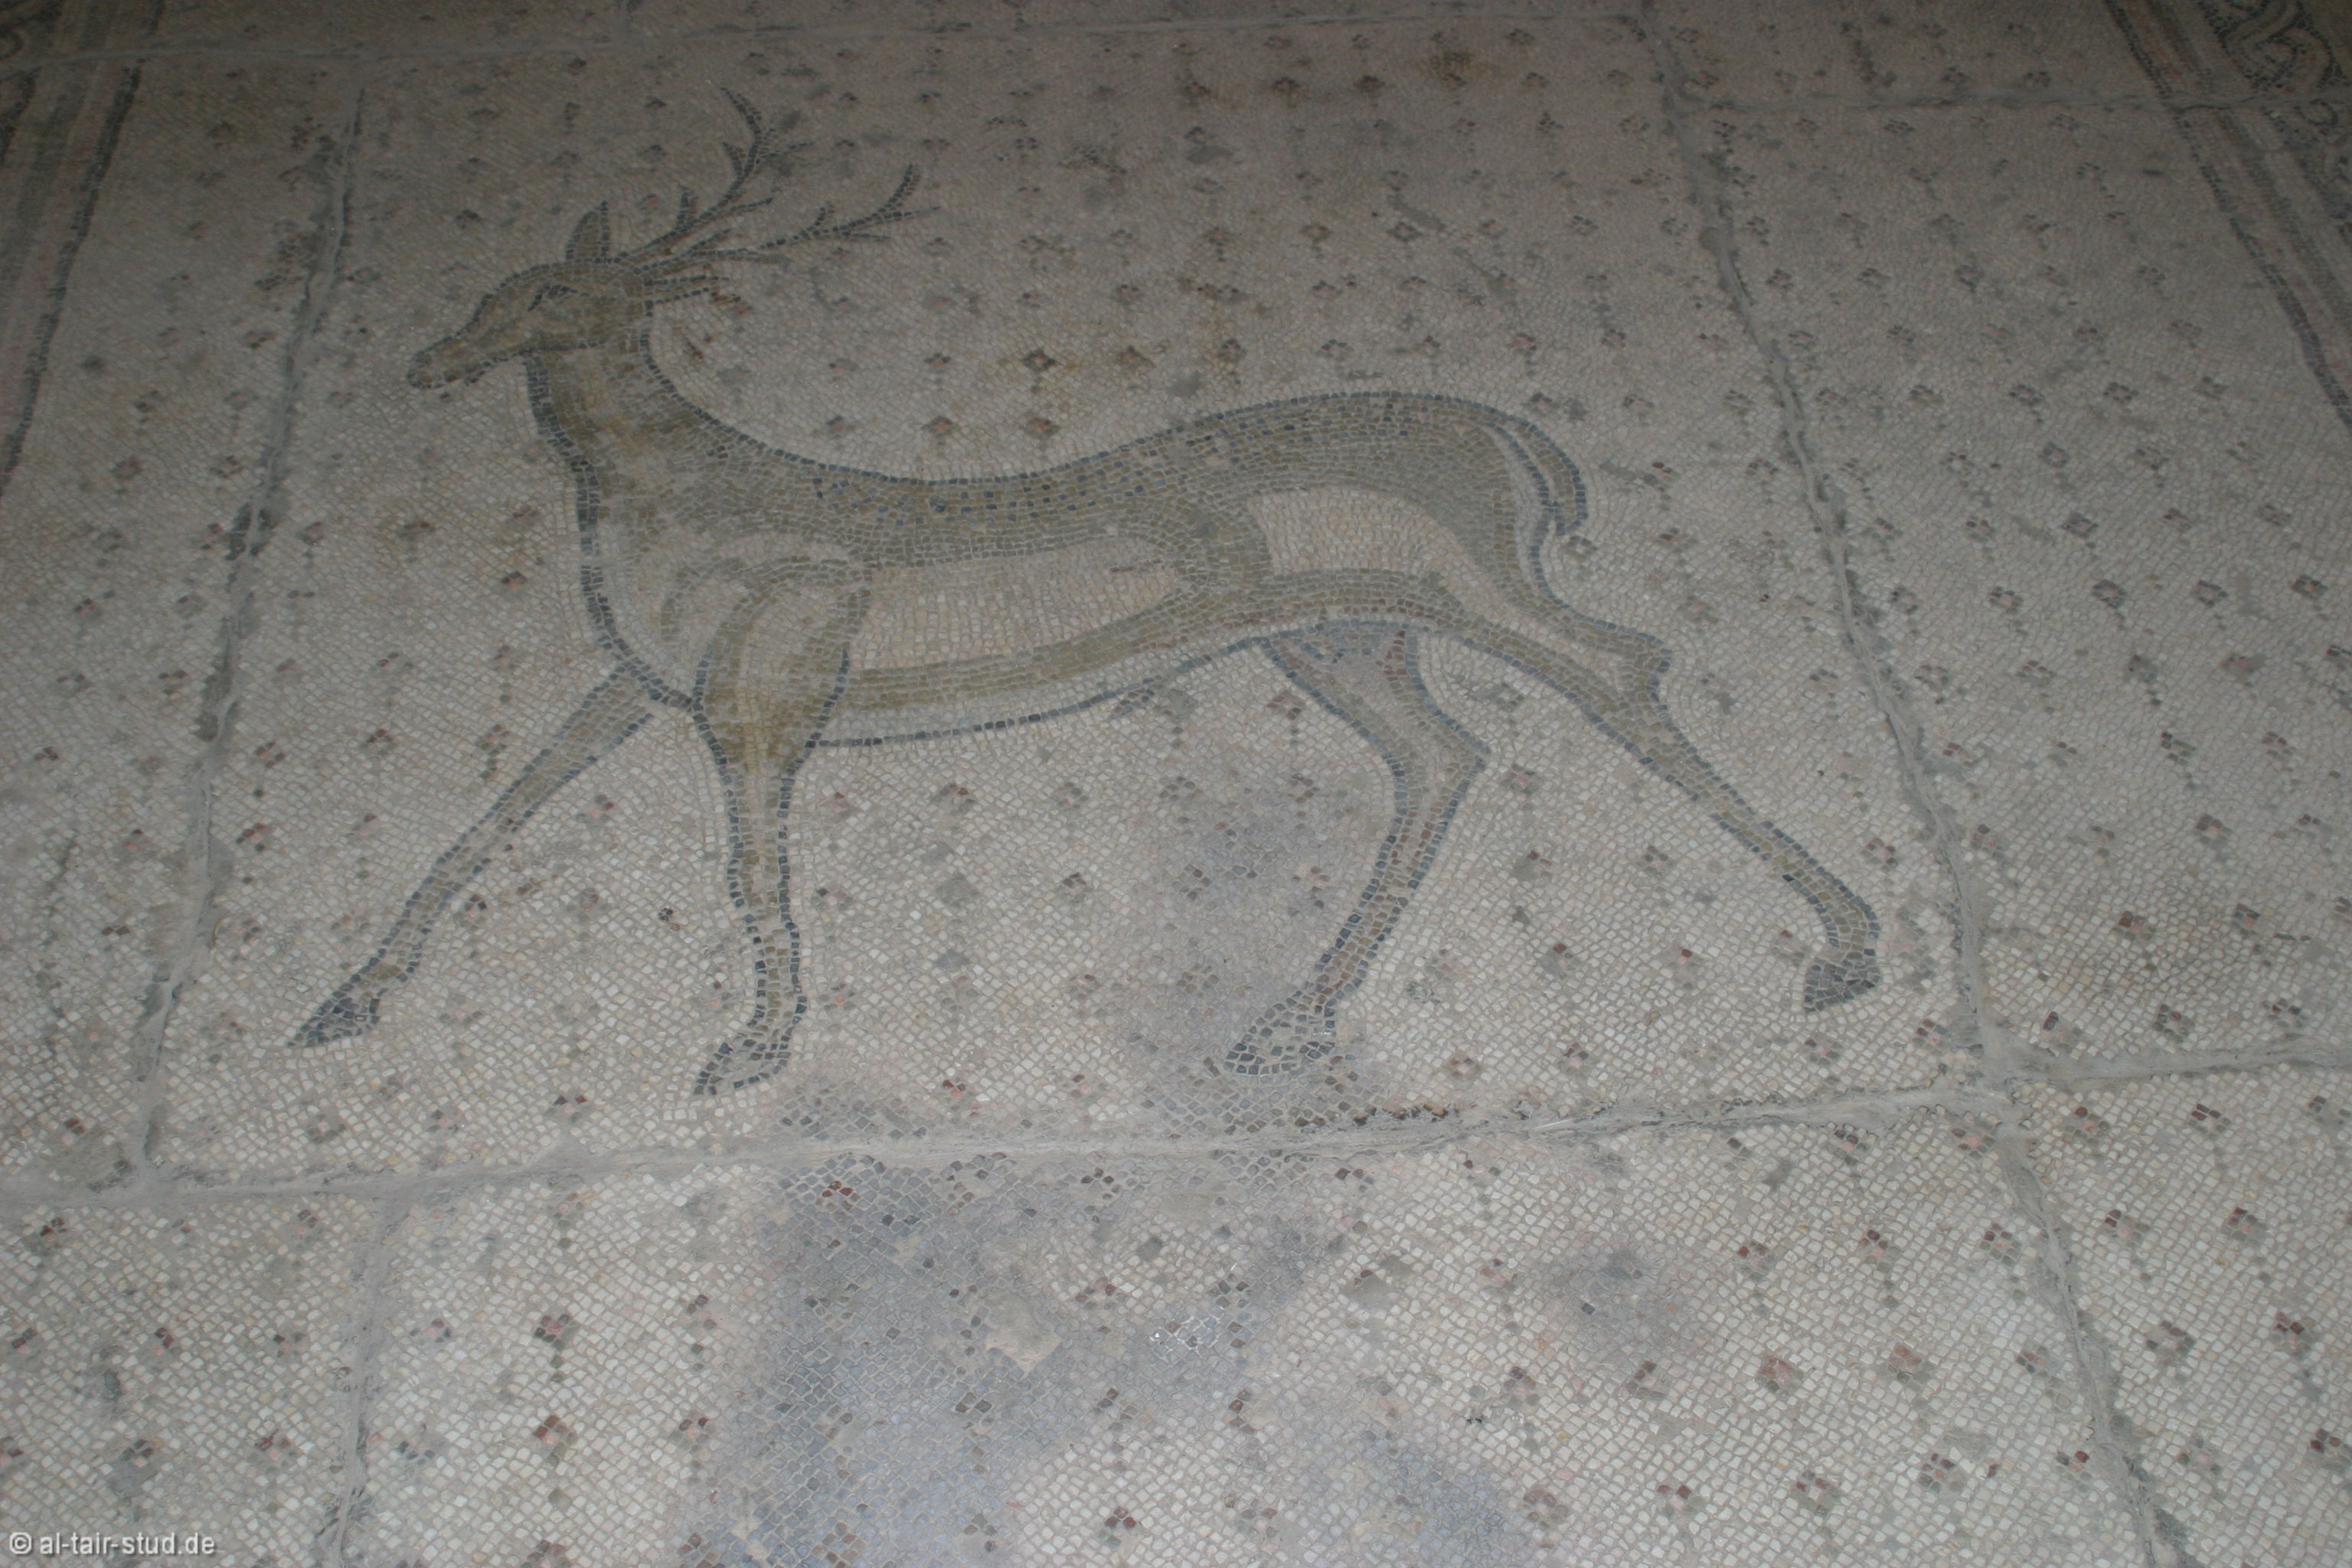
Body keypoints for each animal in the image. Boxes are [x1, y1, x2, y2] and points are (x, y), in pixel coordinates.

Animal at [293, 95, 1880, 1095]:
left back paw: (1846, 948)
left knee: (1623, 662)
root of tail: (1515, 437)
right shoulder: (642, 678)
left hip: (1461, 580)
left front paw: (750, 1047)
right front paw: (342, 998)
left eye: (544, 298)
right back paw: (1283, 1025)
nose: (433, 355)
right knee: (1446, 754)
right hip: (1339, 637)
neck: (663, 504)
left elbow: (749, 868)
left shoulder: (764, 692)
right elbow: (489, 816)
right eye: (500, 285)